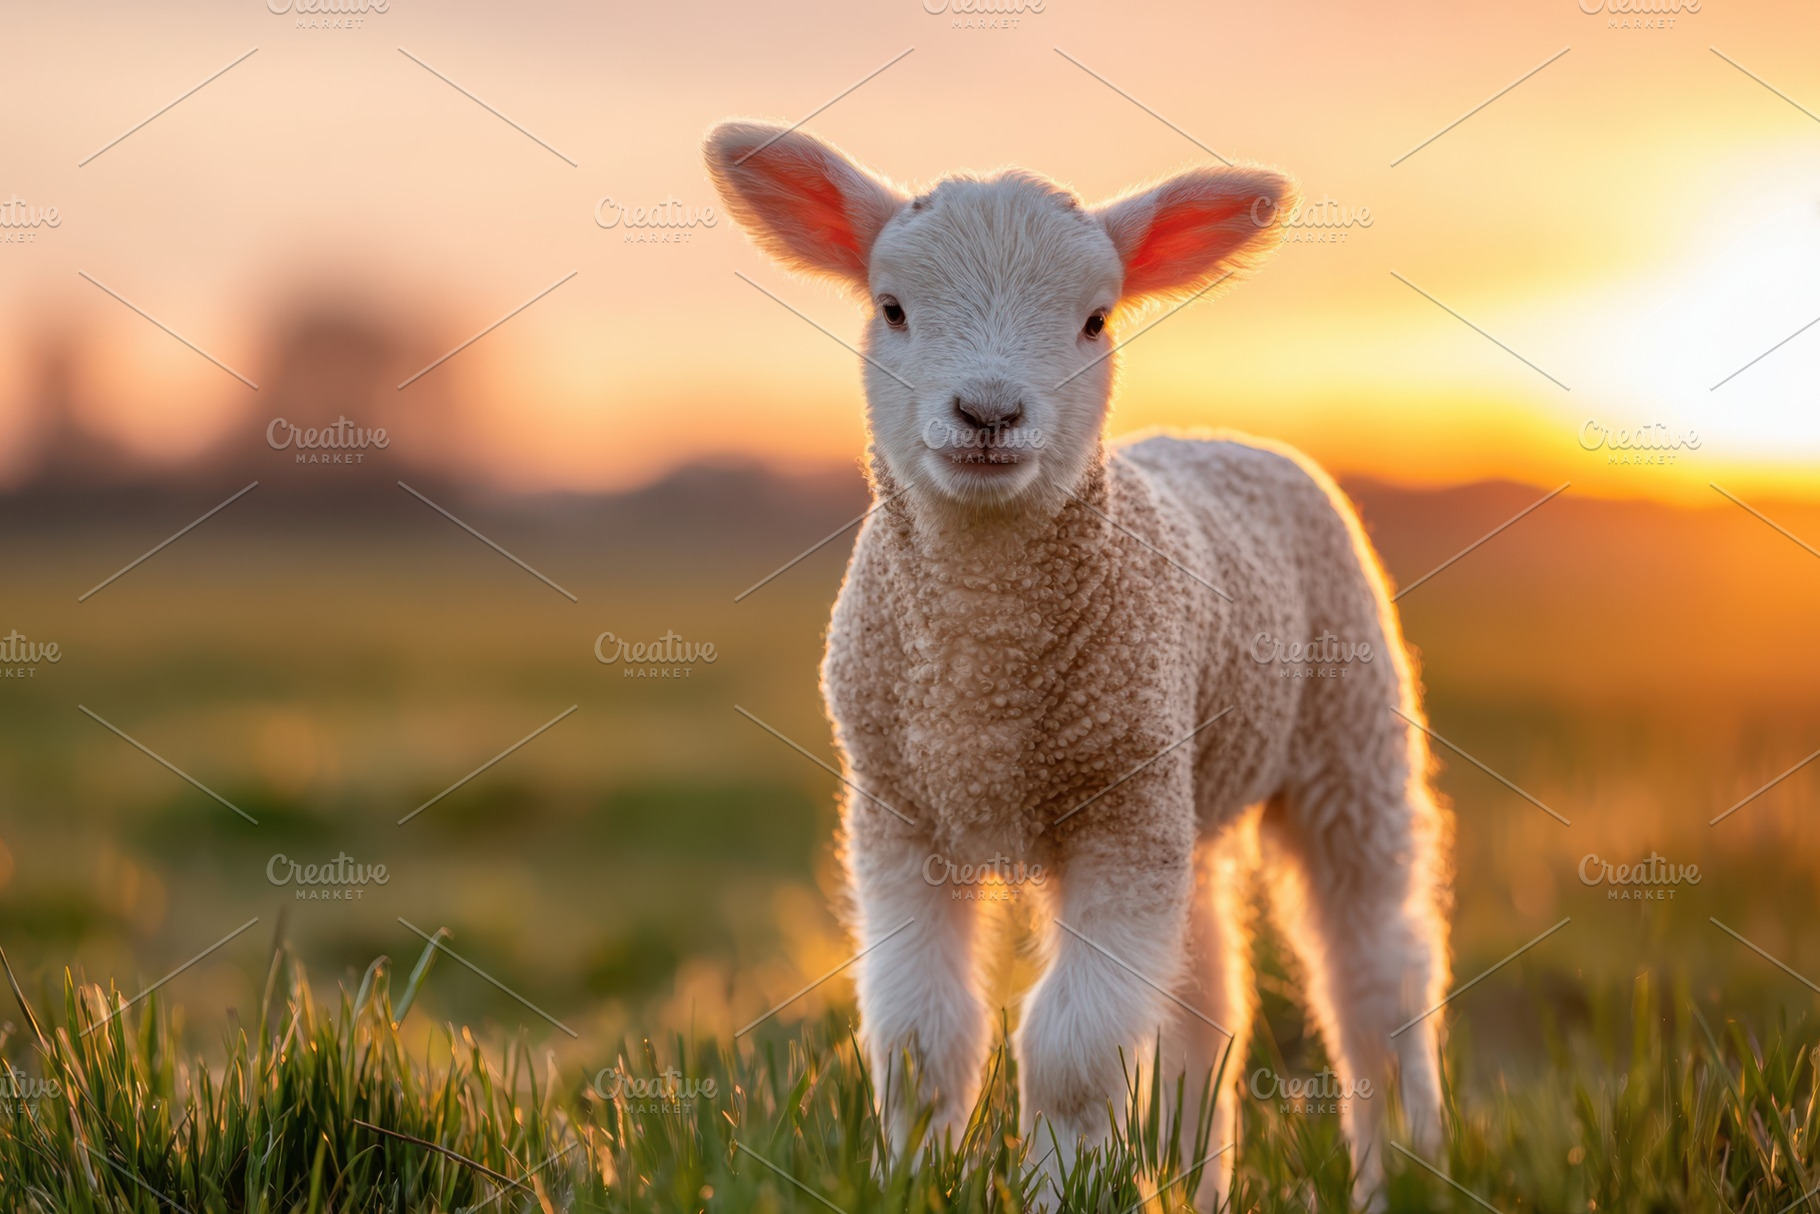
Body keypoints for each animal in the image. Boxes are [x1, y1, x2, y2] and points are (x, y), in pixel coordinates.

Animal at [706, 120, 1452, 1209]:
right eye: (892, 309)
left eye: (1095, 321)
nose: (987, 413)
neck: (981, 675)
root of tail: (1218, 438)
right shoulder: (899, 813)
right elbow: (922, 1041)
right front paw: (909, 1175)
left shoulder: (1118, 812)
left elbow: (1070, 1053)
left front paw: (1058, 1185)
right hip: (1190, 785)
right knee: (1205, 1001)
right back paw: (1198, 1180)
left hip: (1346, 742)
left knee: (1376, 975)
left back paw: (1403, 1163)